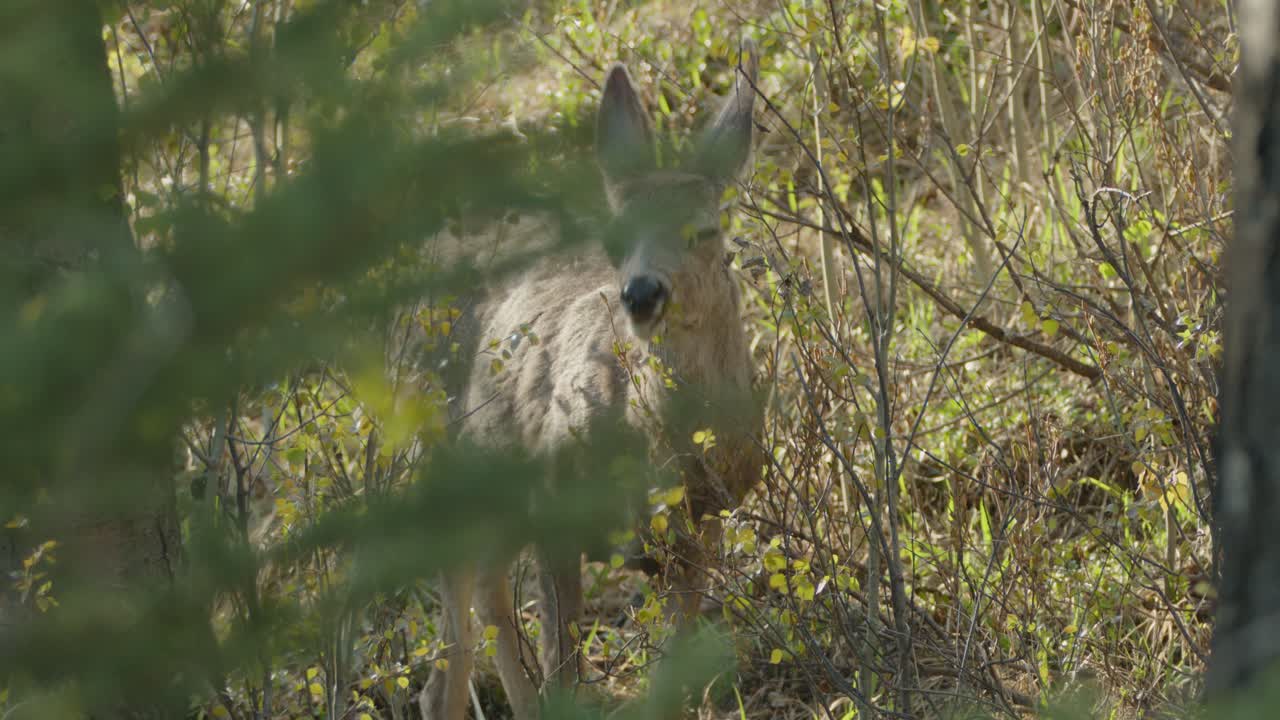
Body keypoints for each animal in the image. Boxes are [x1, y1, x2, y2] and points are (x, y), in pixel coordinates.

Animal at [417, 42, 765, 720]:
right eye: (615, 236)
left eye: (704, 229)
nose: (642, 293)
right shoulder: (554, 500)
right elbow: (564, 664)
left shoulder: (702, 524)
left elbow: (670, 671)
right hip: (444, 468)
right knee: (462, 628)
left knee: (485, 597)